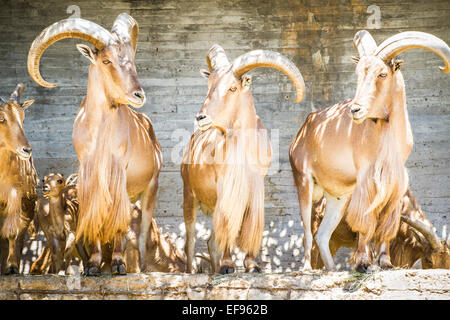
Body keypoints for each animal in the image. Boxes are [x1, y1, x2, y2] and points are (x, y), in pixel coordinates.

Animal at [27, 13, 163, 276]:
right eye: (106, 60)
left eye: (131, 59)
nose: (138, 95)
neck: (100, 137)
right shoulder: (90, 180)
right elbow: (96, 220)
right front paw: (92, 265)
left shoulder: (119, 177)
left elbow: (119, 223)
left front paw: (118, 264)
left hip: (150, 187)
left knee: (141, 230)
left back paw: (139, 267)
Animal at [183, 43, 306, 276]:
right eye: (209, 85)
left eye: (232, 88)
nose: (201, 118)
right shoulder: (227, 188)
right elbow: (228, 223)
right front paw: (228, 265)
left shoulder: (255, 186)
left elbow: (250, 225)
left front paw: (253, 265)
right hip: (190, 195)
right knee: (191, 239)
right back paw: (193, 270)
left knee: (211, 241)